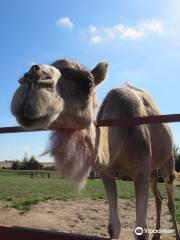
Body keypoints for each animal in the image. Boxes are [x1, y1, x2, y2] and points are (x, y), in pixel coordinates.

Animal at [10, 59, 179, 239]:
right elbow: (113, 227)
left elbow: (141, 231)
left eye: (88, 82)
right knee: (159, 198)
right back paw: (157, 235)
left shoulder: (140, 170)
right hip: (153, 170)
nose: (31, 77)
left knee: (170, 199)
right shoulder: (106, 173)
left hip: (167, 162)